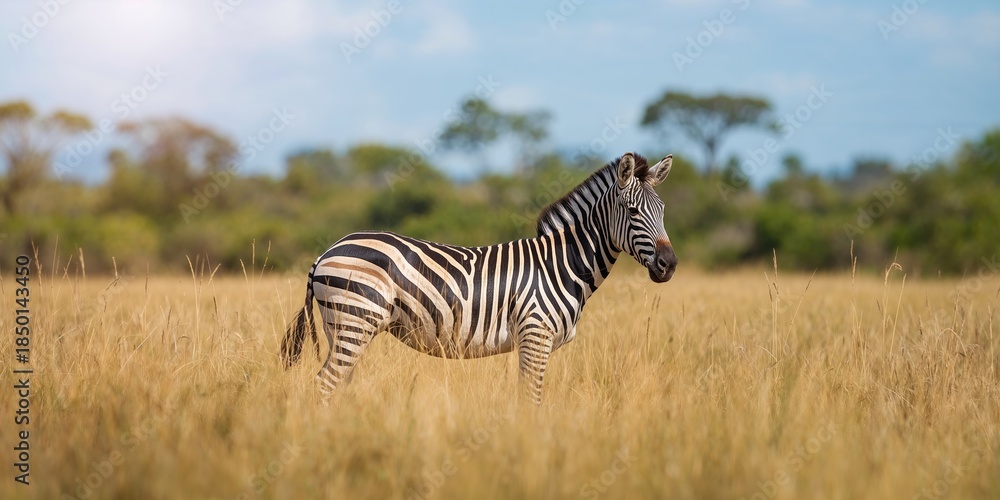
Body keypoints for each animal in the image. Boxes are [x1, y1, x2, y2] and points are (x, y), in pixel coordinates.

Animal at [281, 152, 677, 403]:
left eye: (662, 210)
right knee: (324, 385)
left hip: (343, 326)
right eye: (632, 211)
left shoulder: (536, 341)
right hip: (354, 320)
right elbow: (530, 400)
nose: (669, 264)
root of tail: (325, 253)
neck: (562, 264)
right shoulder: (535, 335)